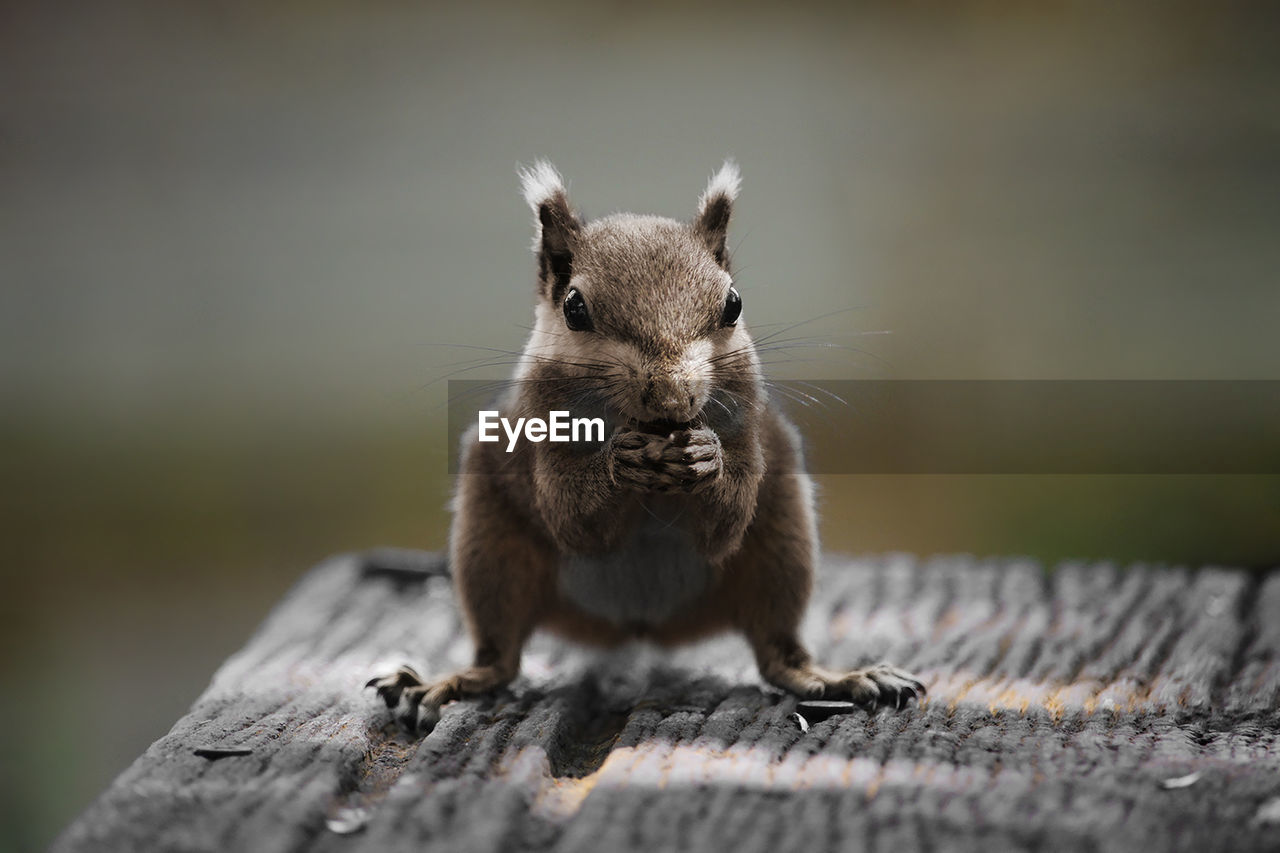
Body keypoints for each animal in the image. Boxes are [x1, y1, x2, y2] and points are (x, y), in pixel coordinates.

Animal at [366, 161, 926, 732]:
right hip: (490, 548)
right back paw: (446, 682)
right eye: (574, 308)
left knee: (778, 652)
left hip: (782, 542)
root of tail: (640, 623)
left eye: (733, 304)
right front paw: (620, 464)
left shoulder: (749, 435)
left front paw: (706, 456)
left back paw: (840, 678)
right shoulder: (542, 436)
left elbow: (726, 522)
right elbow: (573, 518)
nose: (672, 397)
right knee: (500, 656)